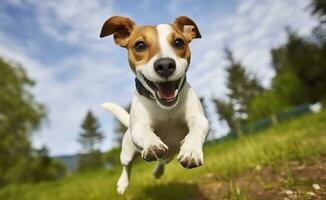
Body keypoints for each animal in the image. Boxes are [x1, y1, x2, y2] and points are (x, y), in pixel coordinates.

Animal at [100, 16, 209, 195]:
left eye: (178, 42)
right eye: (139, 45)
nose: (164, 65)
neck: (166, 109)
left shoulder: (198, 118)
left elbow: (198, 127)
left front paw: (191, 150)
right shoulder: (139, 127)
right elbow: (145, 133)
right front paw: (152, 144)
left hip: (170, 154)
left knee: (162, 161)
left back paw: (158, 172)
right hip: (127, 152)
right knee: (126, 166)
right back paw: (123, 183)